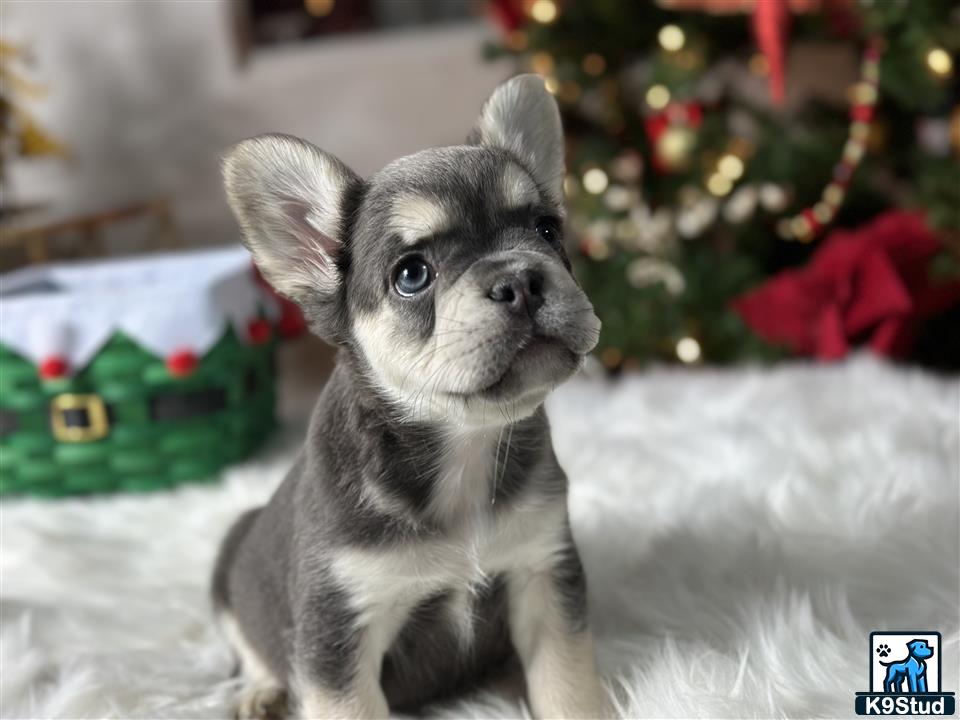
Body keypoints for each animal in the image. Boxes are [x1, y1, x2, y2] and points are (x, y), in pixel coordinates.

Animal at [215, 74, 612, 720]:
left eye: (547, 231)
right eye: (411, 275)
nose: (521, 278)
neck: (463, 444)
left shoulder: (544, 577)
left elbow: (567, 685)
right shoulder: (339, 632)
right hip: (229, 572)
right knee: (248, 647)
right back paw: (260, 692)